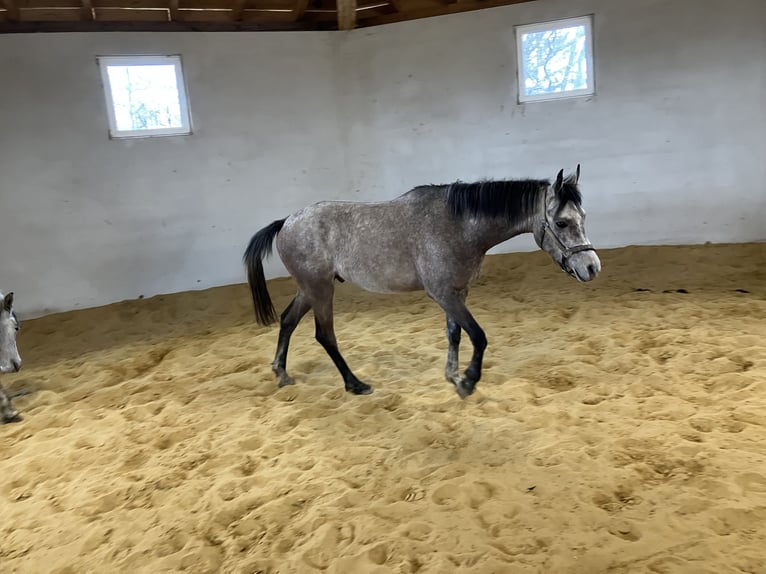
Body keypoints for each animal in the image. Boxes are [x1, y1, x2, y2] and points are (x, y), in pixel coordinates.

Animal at [246, 166, 600, 400]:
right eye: (561, 222)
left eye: (584, 217)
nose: (592, 267)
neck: (458, 224)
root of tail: (286, 222)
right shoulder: (443, 294)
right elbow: (478, 336)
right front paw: (468, 381)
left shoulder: (457, 293)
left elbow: (455, 334)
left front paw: (453, 376)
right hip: (320, 289)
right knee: (325, 335)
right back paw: (355, 384)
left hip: (309, 289)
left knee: (288, 320)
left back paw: (282, 373)